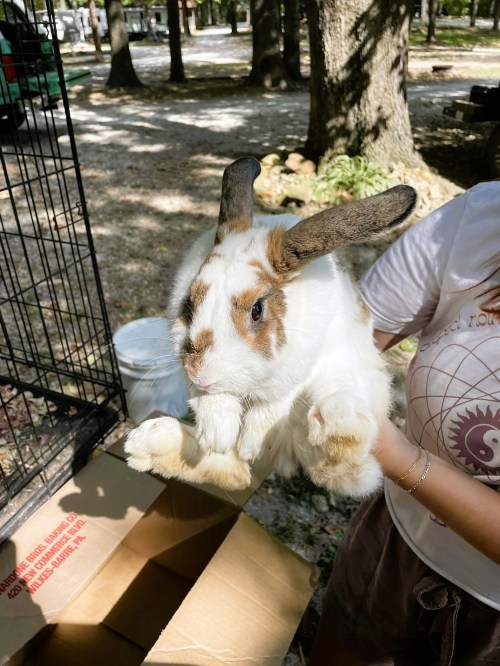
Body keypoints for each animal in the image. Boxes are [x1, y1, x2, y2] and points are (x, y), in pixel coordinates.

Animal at [125, 156, 417, 497]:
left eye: (257, 310)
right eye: (189, 303)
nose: (202, 373)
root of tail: (283, 455)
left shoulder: (297, 370)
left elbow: (275, 402)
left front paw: (250, 441)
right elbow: (210, 402)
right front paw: (218, 433)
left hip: (352, 378)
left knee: (345, 469)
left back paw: (337, 424)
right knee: (238, 472)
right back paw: (150, 445)